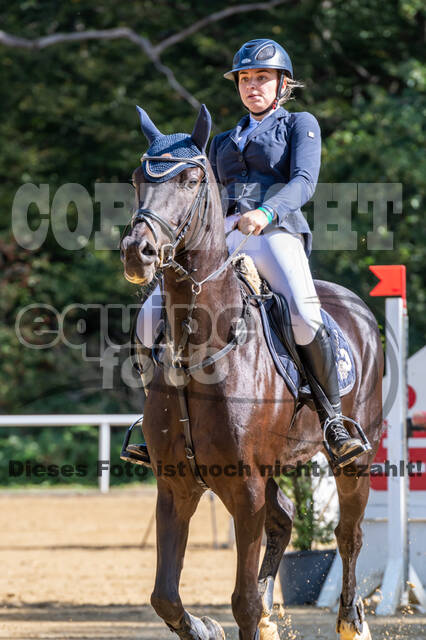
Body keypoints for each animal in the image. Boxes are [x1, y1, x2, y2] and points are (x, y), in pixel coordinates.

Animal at [119, 105, 382, 640]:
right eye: (137, 178)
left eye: (192, 179)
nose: (139, 252)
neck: (202, 348)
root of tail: (357, 306)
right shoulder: (176, 485)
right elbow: (165, 597)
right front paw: (205, 628)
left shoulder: (246, 488)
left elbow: (240, 600)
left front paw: (239, 618)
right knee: (285, 520)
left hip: (353, 459)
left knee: (348, 532)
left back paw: (351, 620)